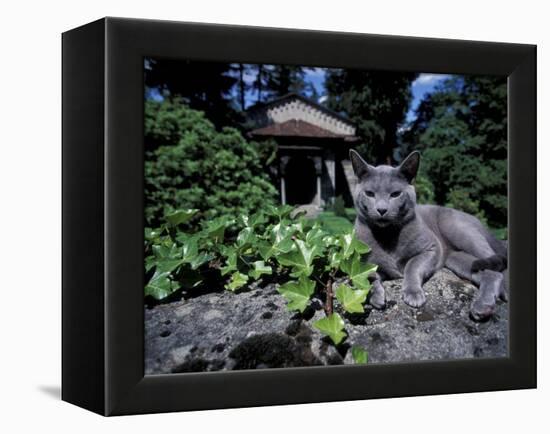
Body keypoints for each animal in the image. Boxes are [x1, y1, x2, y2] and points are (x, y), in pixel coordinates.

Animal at [352, 149, 512, 322]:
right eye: (369, 193)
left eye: (395, 194)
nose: (381, 210)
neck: (387, 235)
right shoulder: (364, 264)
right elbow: (367, 277)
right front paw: (376, 296)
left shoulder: (431, 249)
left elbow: (412, 266)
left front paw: (413, 294)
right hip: (457, 259)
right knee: (487, 272)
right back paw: (484, 307)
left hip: (459, 230)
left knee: (496, 268)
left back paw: (487, 303)